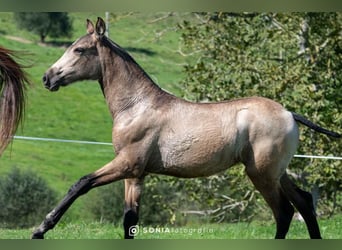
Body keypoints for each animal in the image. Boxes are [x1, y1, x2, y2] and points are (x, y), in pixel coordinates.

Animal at [32, 17, 340, 240]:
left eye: (79, 50)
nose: (48, 78)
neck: (136, 106)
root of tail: (289, 113)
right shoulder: (135, 175)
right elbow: (130, 220)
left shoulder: (127, 163)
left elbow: (81, 183)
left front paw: (41, 229)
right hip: (277, 172)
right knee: (304, 202)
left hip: (261, 173)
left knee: (284, 212)